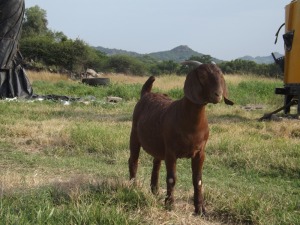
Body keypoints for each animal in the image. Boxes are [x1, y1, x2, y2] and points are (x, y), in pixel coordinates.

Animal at [127, 61, 233, 214]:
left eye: (220, 74)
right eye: (202, 76)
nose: (217, 94)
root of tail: (146, 93)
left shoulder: (200, 152)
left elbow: (198, 180)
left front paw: (200, 209)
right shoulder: (171, 151)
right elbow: (172, 178)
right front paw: (170, 205)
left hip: (159, 145)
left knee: (156, 163)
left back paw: (155, 191)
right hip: (134, 134)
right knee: (133, 160)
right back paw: (133, 187)